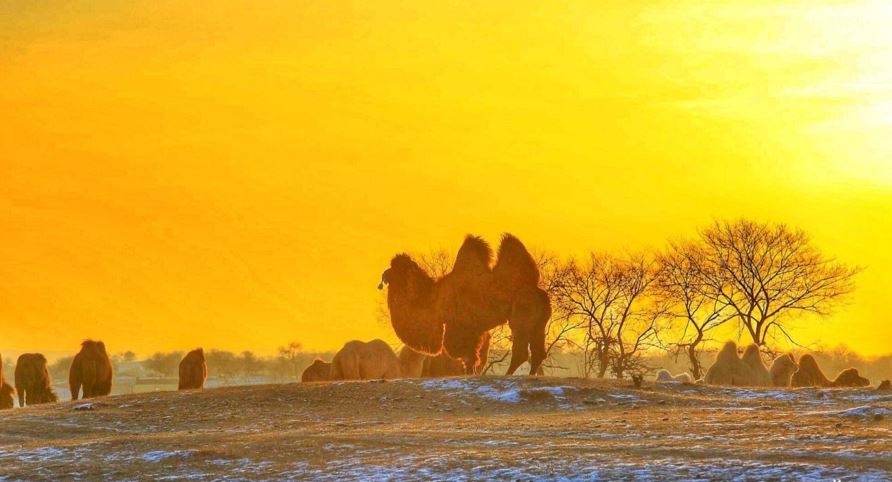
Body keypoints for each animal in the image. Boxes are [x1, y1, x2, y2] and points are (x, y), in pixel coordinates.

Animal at [378, 233, 552, 376]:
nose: (384, 280)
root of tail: (540, 293)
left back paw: (508, 375)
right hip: (538, 322)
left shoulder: (460, 327)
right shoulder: (473, 330)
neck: (433, 301)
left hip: (522, 314)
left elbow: (466, 355)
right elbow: (470, 358)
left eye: (396, 272)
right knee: (537, 352)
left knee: (521, 350)